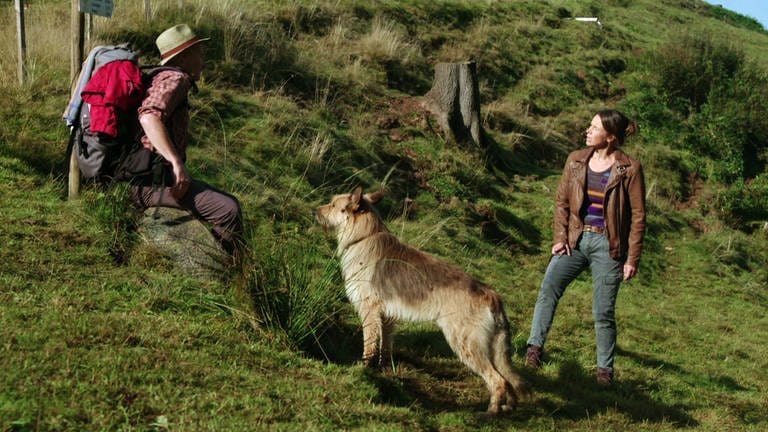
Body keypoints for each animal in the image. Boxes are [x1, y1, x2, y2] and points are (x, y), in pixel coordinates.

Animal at [316, 187, 528, 414]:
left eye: (333, 205)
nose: (314, 211)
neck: (364, 236)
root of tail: (491, 294)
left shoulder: (369, 312)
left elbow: (369, 346)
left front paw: (365, 369)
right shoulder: (387, 318)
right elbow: (385, 348)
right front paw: (383, 370)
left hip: (466, 345)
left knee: (498, 381)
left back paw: (491, 412)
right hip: (491, 349)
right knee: (509, 380)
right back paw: (509, 408)